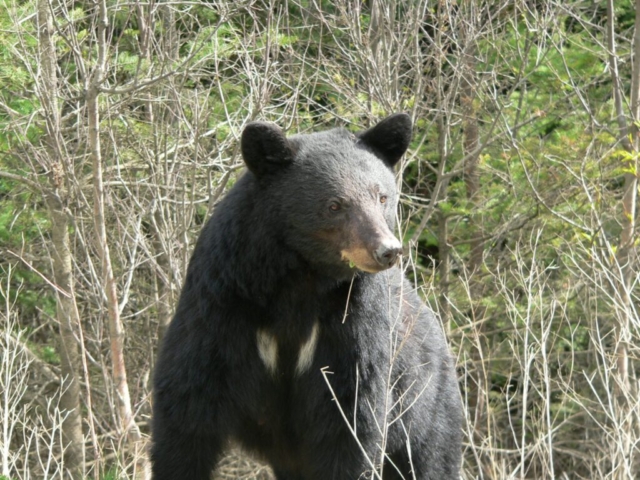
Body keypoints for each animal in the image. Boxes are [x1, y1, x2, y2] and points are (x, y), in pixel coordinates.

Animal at [151, 114, 460, 478]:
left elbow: (353, 417)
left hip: (428, 405)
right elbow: (188, 408)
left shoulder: (355, 321)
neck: (300, 277)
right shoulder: (223, 300)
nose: (387, 250)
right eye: (335, 204)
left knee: (429, 460)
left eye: (382, 197)